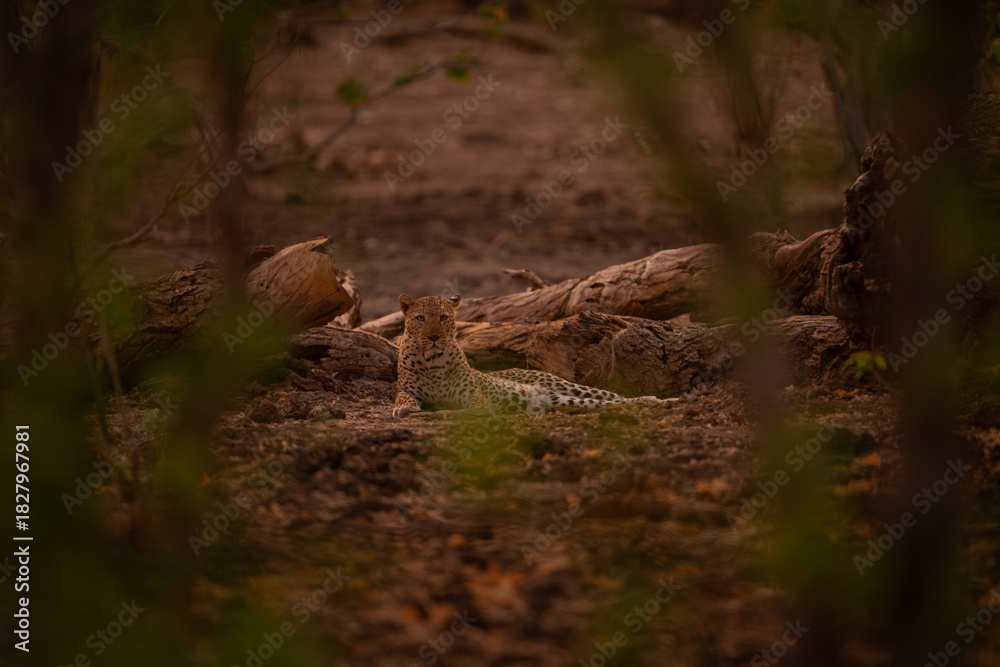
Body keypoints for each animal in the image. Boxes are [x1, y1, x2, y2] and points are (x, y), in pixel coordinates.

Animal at [392, 294, 668, 418]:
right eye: (420, 318)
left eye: (443, 317)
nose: (434, 337)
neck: (433, 361)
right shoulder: (407, 389)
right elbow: (401, 398)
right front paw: (404, 409)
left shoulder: (473, 395)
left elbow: (473, 406)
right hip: (568, 400)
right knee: (609, 404)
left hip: (571, 387)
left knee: (616, 396)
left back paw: (657, 400)